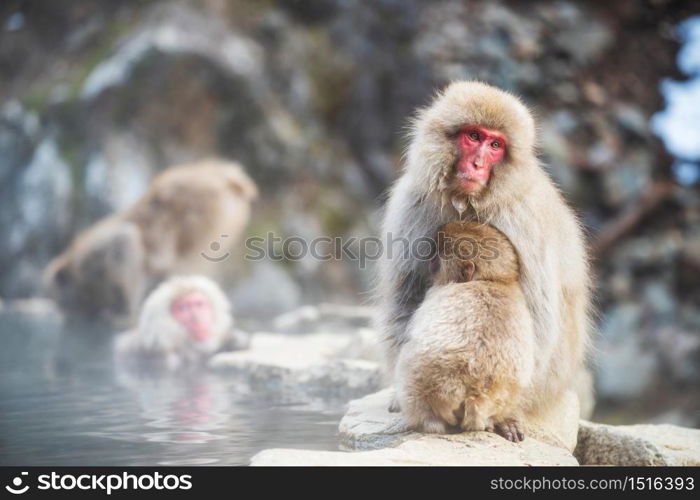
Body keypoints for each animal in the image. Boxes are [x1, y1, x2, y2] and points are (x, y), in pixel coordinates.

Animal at [396, 223, 532, 442]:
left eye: (436, 259)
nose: (428, 263)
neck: (493, 280)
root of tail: (474, 394)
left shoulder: (435, 293)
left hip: (424, 388)